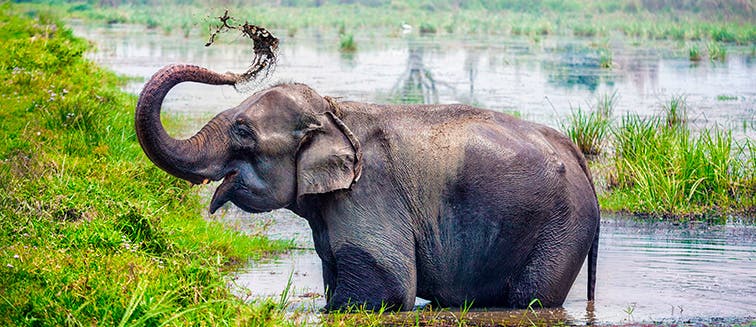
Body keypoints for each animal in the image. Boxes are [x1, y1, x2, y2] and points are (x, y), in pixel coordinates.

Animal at [133, 64, 600, 312]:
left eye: (244, 131)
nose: (234, 72)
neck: (334, 110)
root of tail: (577, 154)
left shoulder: (369, 192)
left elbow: (387, 288)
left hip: (561, 230)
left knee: (533, 299)